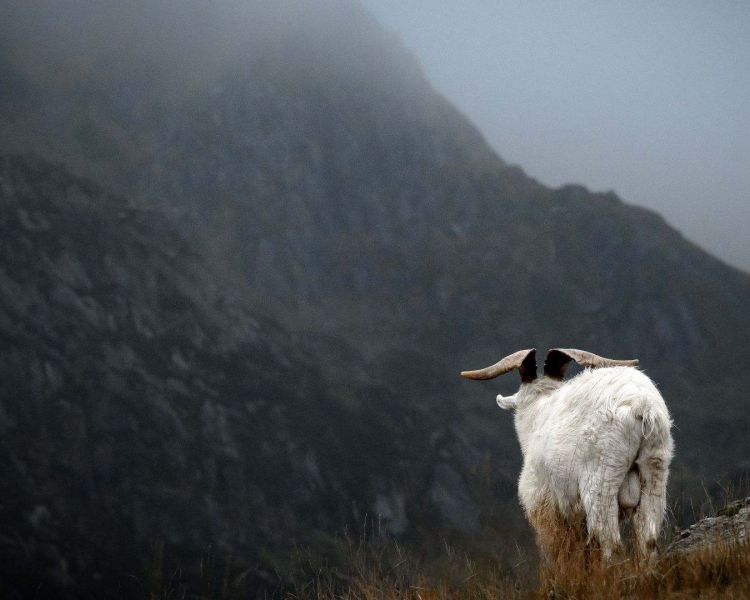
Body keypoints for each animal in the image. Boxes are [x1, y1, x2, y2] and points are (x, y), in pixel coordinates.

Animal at [461, 348, 673, 561]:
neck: (537, 414)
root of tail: (641, 406)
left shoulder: (543, 504)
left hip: (600, 482)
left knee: (611, 544)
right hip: (654, 471)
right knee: (648, 541)